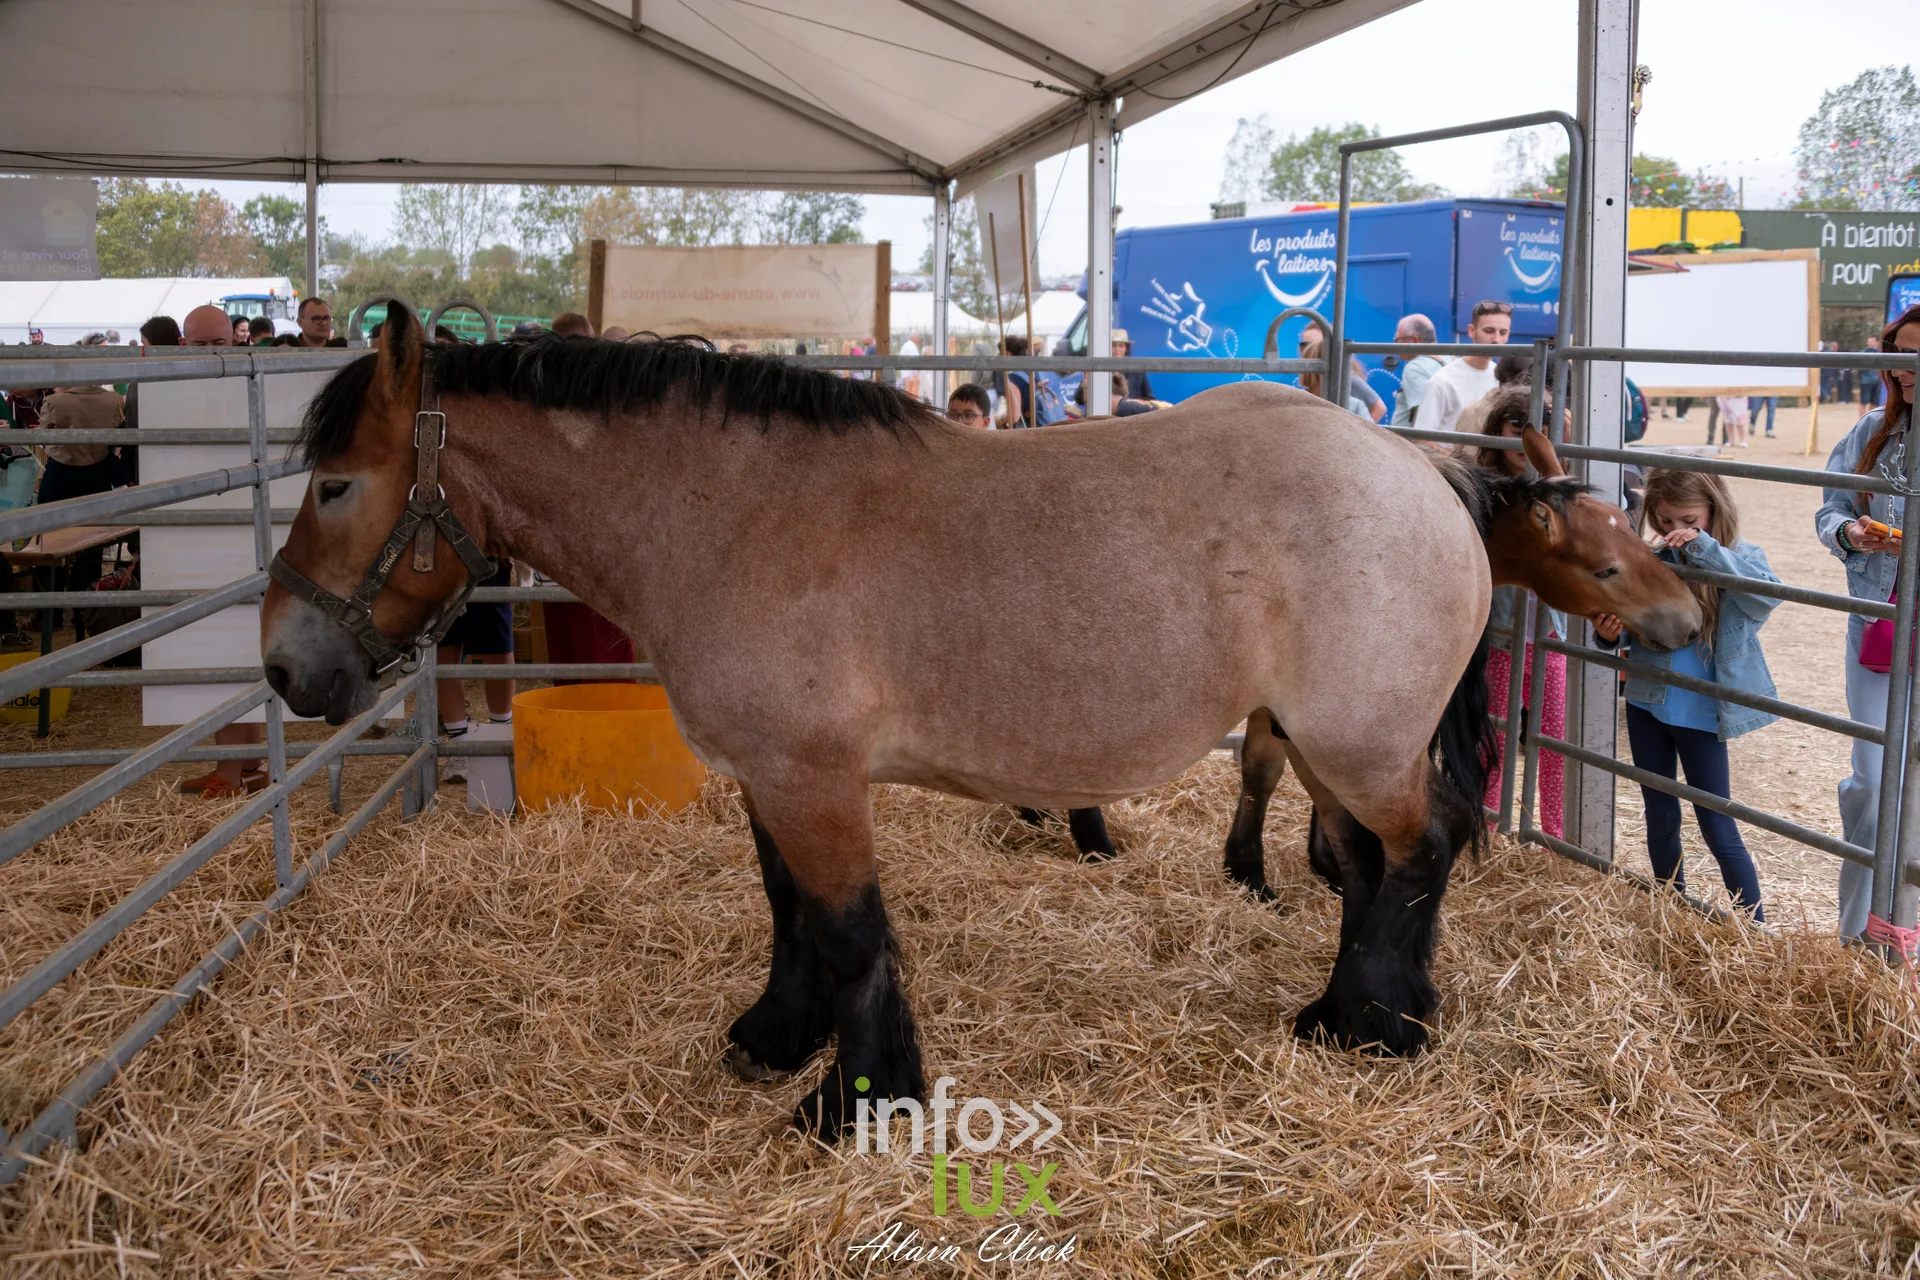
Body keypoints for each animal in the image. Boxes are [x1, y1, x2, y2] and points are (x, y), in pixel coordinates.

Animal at [261, 305, 1704, 1135]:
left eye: (335, 483)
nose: (285, 667)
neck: (728, 516)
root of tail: (1423, 472)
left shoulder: (813, 780)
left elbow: (849, 932)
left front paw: (859, 1101)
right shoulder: (774, 777)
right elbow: (794, 918)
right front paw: (776, 1040)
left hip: (1356, 742)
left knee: (1416, 854)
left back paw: (1381, 1022)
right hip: (1332, 744)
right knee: (1365, 864)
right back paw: (1347, 1008)